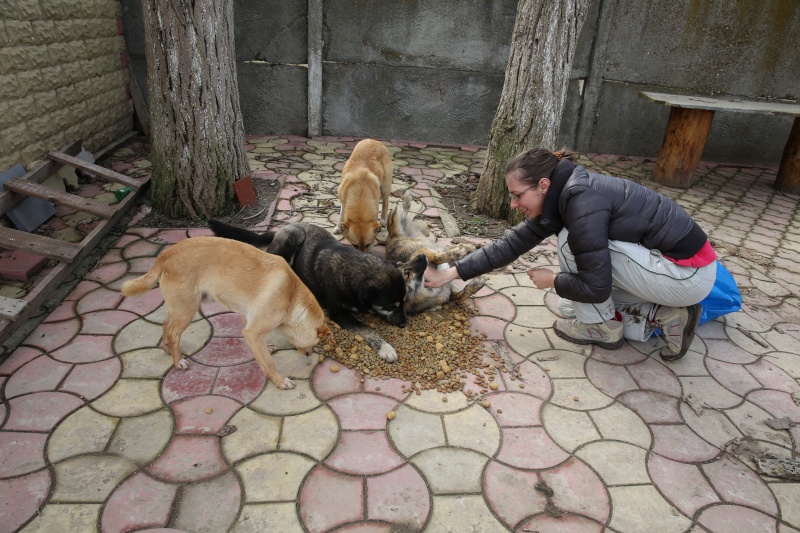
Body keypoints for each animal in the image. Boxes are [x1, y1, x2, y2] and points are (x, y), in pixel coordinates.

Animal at [119, 235, 332, 388]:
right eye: (316, 343)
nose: (309, 354)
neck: (292, 295)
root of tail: (164, 256)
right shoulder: (252, 332)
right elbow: (268, 363)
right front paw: (280, 381)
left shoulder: (248, 320)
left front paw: (269, 347)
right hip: (187, 310)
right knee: (173, 333)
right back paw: (178, 361)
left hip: (180, 307)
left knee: (165, 323)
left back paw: (167, 349)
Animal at [209, 219, 406, 362]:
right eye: (392, 305)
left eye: (403, 302)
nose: (405, 324)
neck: (353, 269)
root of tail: (281, 228)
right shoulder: (339, 313)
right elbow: (367, 329)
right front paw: (386, 348)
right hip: (292, 239)